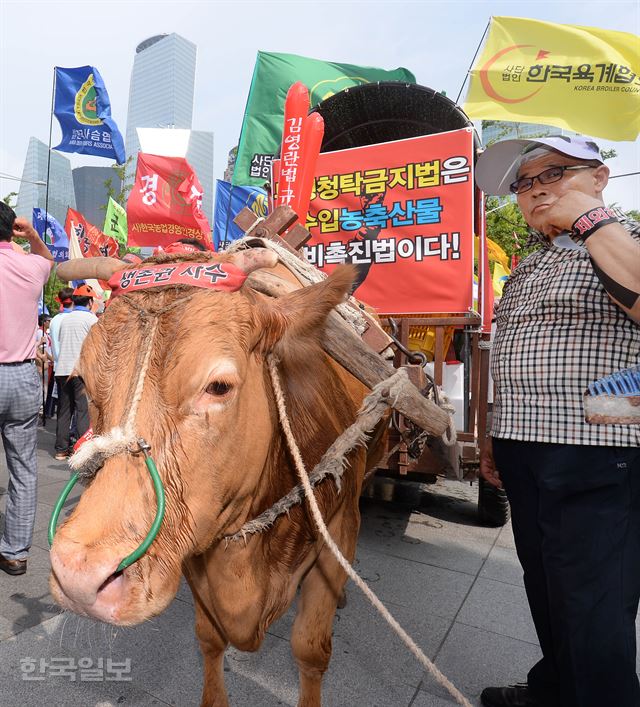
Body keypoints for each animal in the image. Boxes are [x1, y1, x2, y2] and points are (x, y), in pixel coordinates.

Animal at [48, 249, 384, 707]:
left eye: (219, 386)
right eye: (81, 379)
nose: (78, 577)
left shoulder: (340, 522)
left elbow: (310, 649)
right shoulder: (189, 543)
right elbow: (208, 638)